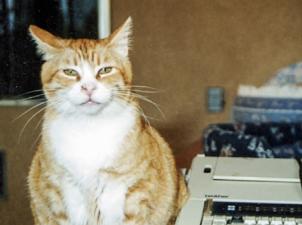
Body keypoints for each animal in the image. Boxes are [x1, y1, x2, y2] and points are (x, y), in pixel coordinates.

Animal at [28, 18, 189, 225]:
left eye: (105, 70)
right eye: (70, 72)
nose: (88, 87)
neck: (89, 129)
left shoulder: (136, 191)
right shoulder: (57, 194)